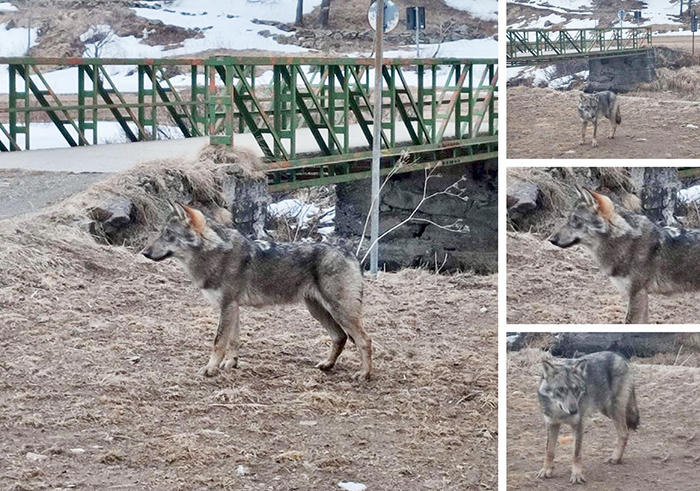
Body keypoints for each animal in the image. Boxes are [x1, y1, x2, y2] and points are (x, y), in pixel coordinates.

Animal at [141, 201, 372, 381]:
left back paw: (365, 374)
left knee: (364, 341)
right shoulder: (232, 307)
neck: (214, 253)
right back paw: (327, 365)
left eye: (168, 234)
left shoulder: (227, 306)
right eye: (162, 233)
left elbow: (218, 342)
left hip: (340, 312)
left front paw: (210, 369)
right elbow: (233, 340)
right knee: (340, 337)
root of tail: (351, 254)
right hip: (318, 311)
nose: (144, 252)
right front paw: (230, 364)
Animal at [537, 351, 639, 485]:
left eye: (576, 389)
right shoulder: (552, 424)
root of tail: (620, 356)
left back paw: (615, 458)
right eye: (561, 389)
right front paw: (546, 470)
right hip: (606, 410)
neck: (560, 412)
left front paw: (577, 475)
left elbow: (576, 453)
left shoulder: (578, 424)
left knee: (624, 433)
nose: (574, 411)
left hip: (613, 410)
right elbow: (549, 450)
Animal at [548, 187, 700, 323]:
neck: (625, 240)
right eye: (569, 218)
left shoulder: (637, 293)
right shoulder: (640, 295)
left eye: (575, 219)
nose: (551, 239)